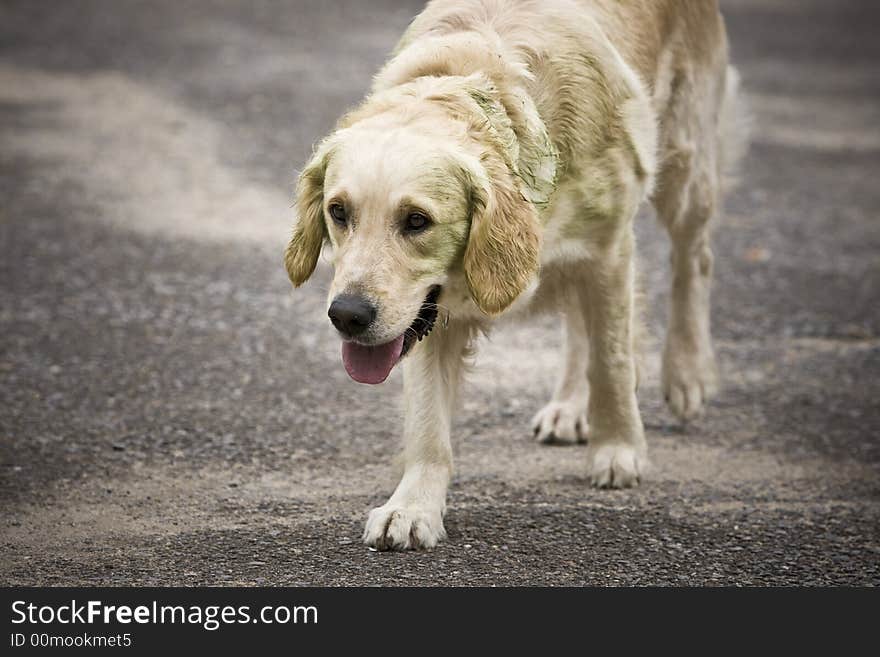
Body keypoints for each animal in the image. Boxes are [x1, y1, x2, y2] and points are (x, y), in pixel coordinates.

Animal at [286, 0, 744, 552]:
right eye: (338, 211)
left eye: (416, 220)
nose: (347, 316)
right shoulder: (430, 315)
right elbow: (427, 422)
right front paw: (412, 507)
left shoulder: (609, 249)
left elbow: (611, 362)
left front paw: (618, 449)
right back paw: (570, 406)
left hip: (685, 167)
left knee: (694, 260)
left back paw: (686, 374)